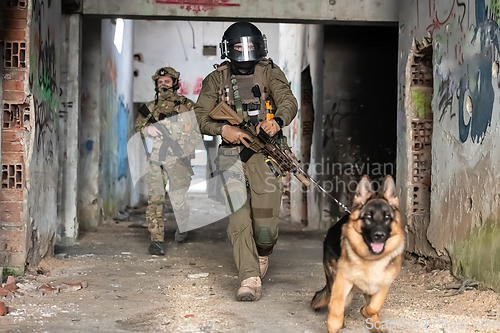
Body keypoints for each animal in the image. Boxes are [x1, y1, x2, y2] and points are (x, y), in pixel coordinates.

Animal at [312, 175, 406, 330]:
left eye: (387, 217)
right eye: (368, 217)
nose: (379, 235)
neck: (371, 260)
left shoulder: (383, 285)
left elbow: (374, 306)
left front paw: (368, 315)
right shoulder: (343, 280)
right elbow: (337, 305)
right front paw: (335, 324)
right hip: (334, 278)